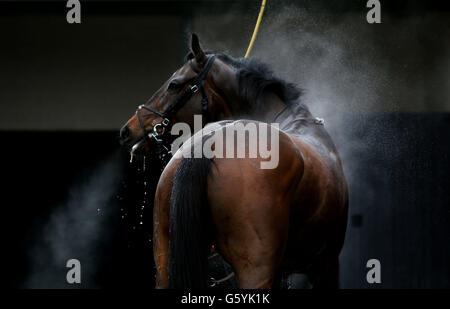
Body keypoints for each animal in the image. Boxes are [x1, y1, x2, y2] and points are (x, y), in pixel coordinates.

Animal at [119, 34, 348, 288]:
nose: (127, 130)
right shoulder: (326, 264)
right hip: (257, 269)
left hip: (165, 264)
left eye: (174, 84)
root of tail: (210, 141)